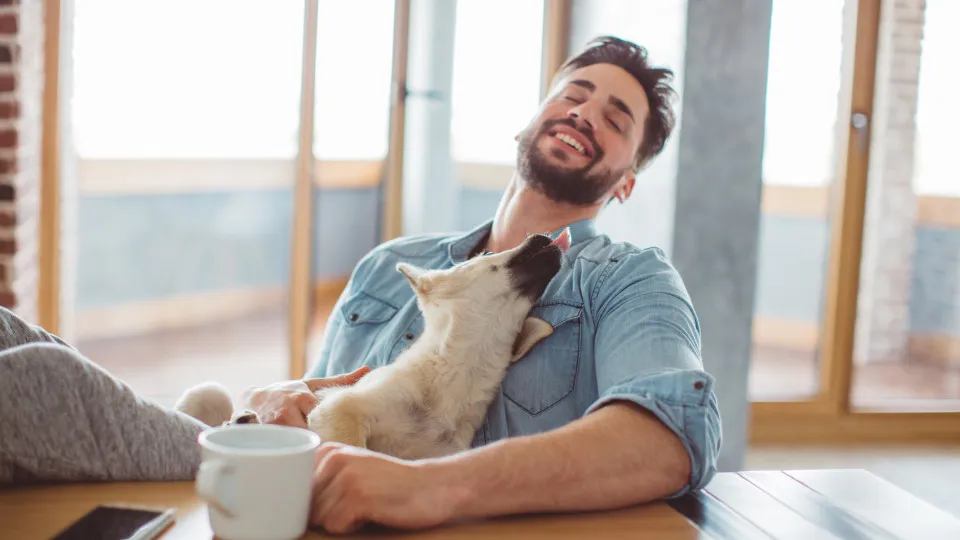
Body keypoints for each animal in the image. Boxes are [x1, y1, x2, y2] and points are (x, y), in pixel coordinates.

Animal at [176, 228, 568, 460]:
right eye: (485, 257)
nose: (542, 234)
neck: (457, 375)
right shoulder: (342, 410)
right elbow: (351, 447)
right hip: (208, 392)